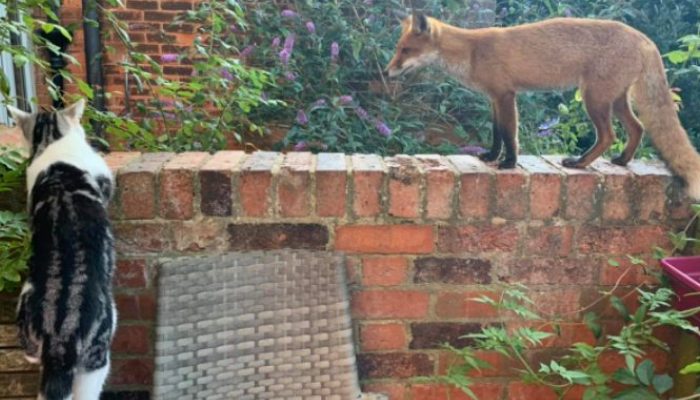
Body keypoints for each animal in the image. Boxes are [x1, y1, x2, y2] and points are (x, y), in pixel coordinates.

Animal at [386, 13, 700, 200]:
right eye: (397, 49)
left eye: (406, 51)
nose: (387, 73)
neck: (472, 52)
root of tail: (644, 38)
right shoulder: (493, 99)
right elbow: (497, 134)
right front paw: (491, 156)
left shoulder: (505, 95)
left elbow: (510, 134)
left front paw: (509, 164)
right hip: (617, 100)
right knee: (638, 128)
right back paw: (622, 161)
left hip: (594, 98)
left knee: (609, 135)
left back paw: (580, 163)